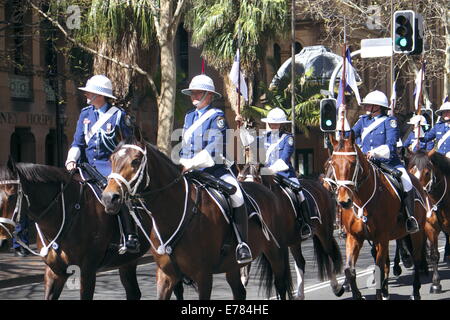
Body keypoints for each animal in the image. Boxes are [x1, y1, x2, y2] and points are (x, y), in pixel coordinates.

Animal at [3, 160, 151, 300]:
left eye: (12, 196)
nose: (3, 242)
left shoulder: (87, 271)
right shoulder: (54, 272)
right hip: (128, 261)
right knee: (133, 292)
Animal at [100, 136, 294, 300]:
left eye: (135, 161)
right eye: (111, 159)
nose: (109, 198)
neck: (174, 213)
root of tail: (268, 192)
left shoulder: (203, 276)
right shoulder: (166, 275)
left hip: (275, 253)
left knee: (281, 285)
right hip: (232, 265)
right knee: (240, 292)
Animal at [237, 164, 342, 298]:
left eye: (256, 181)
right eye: (240, 181)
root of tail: (321, 187)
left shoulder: (279, 247)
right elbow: (244, 276)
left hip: (324, 231)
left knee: (330, 253)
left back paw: (337, 286)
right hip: (295, 241)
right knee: (301, 262)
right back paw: (301, 294)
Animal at [326, 132, 428, 300]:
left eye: (352, 163)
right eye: (332, 163)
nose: (344, 201)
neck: (362, 201)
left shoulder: (382, 237)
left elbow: (379, 267)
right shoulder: (354, 237)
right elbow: (349, 270)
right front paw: (357, 294)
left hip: (416, 233)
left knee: (417, 258)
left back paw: (415, 291)